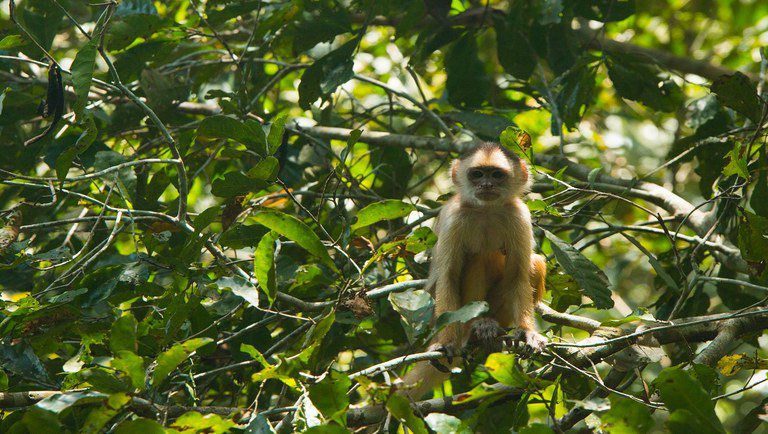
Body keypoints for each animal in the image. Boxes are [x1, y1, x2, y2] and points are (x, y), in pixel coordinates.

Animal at [400, 142, 548, 400]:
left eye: (496, 175)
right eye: (477, 174)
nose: (486, 185)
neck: (486, 210)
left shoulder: (518, 215)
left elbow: (518, 276)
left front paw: (526, 332)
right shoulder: (455, 217)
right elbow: (447, 278)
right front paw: (445, 343)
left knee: (535, 263)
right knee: (479, 258)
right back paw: (479, 327)